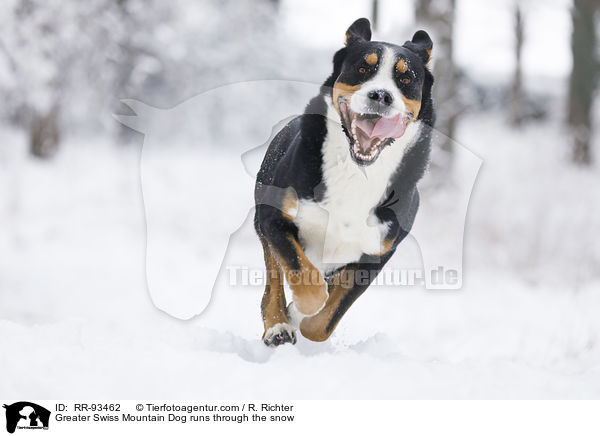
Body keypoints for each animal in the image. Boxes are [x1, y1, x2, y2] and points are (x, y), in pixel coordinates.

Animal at [252, 17, 432, 346]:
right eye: (362, 68)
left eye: (405, 78)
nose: (380, 96)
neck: (357, 172)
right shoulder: (274, 217)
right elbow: (302, 277)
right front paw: (296, 310)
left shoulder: (377, 253)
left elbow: (324, 321)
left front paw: (301, 315)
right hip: (262, 218)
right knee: (274, 273)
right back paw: (277, 326)